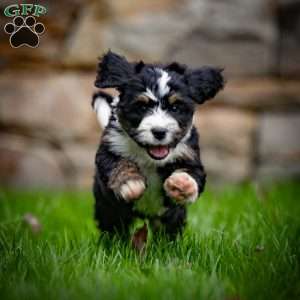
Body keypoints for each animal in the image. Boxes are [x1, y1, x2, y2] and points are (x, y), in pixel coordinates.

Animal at [92, 51, 224, 238]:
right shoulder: (110, 148)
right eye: (141, 107)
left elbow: (192, 172)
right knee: (113, 227)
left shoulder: (189, 154)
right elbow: (119, 164)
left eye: (175, 107)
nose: (159, 131)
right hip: (109, 209)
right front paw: (131, 184)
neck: (148, 156)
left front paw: (183, 184)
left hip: (170, 217)